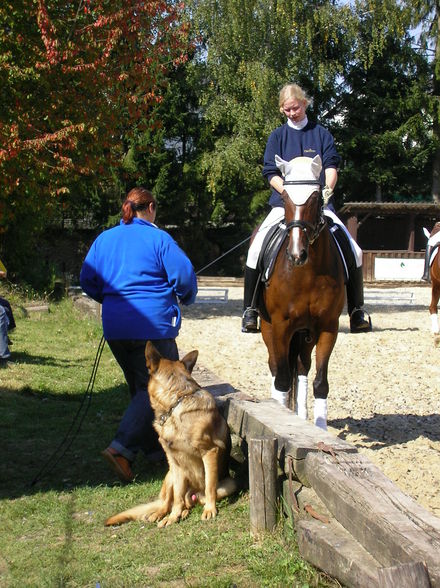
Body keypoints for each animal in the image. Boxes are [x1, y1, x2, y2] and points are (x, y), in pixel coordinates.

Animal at [105, 340, 237, 528]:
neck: (176, 404)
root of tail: (194, 493)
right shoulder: (175, 463)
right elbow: (178, 496)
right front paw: (173, 517)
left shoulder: (210, 453)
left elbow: (210, 486)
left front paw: (210, 510)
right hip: (170, 475)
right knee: (170, 501)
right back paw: (161, 514)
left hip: (229, 483)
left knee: (192, 500)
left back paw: (186, 510)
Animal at [260, 155, 346, 432]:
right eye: (285, 196)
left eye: (316, 197)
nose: (297, 254)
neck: (306, 272)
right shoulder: (280, 325)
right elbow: (281, 379)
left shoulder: (328, 327)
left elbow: (320, 382)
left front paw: (319, 428)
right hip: (268, 327)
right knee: (276, 368)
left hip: (306, 334)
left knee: (301, 367)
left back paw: (300, 416)